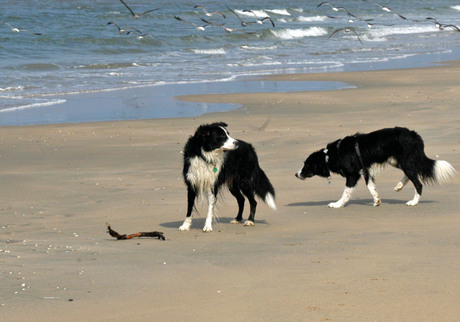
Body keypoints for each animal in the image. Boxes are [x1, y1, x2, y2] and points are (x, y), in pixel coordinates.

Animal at [296, 127, 454, 208]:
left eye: (307, 165)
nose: (296, 174)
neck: (331, 155)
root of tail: (415, 136)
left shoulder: (353, 175)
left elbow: (346, 192)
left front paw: (337, 204)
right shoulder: (366, 171)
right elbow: (370, 187)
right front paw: (377, 200)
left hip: (405, 161)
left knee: (418, 183)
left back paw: (413, 202)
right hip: (396, 161)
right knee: (411, 175)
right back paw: (399, 186)